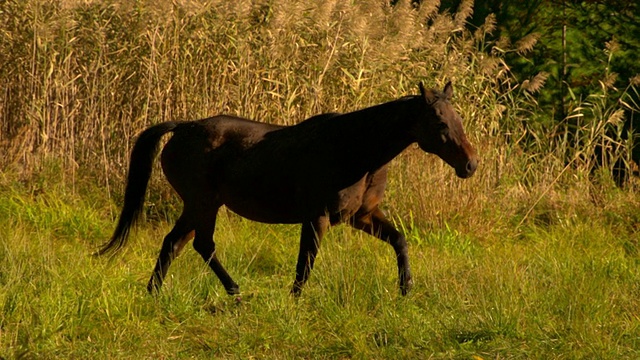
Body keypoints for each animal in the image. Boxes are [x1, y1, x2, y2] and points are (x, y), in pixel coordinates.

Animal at [97, 81, 478, 296]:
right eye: (440, 122)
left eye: (459, 119)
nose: (470, 164)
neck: (355, 149)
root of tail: (183, 127)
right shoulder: (317, 217)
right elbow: (305, 263)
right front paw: (294, 299)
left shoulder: (361, 216)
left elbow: (399, 240)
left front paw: (406, 287)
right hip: (201, 203)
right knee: (200, 245)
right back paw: (235, 291)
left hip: (200, 205)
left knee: (175, 243)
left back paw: (155, 293)